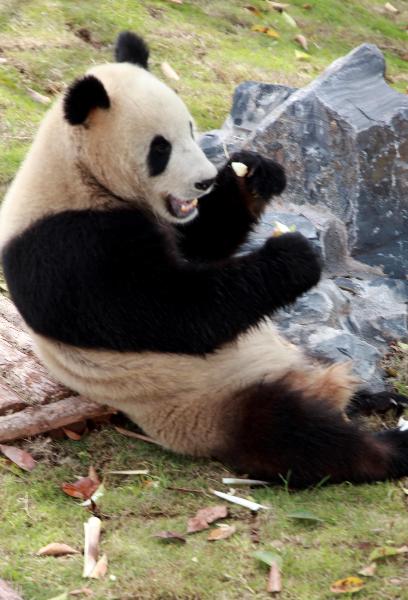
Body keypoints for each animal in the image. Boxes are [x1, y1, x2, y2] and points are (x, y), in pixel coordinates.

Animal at [0, 31, 408, 488]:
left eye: (191, 129)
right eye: (160, 148)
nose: (205, 181)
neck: (78, 170)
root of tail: (316, 385)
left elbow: (202, 245)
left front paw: (254, 175)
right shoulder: (68, 246)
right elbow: (177, 312)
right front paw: (293, 256)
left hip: (291, 356)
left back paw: (378, 398)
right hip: (216, 404)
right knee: (297, 435)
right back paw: (390, 447)